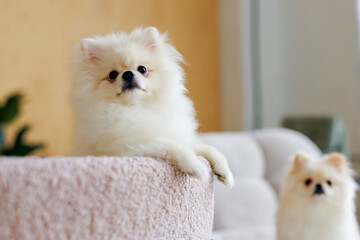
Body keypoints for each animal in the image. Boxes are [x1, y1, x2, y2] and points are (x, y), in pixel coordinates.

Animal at [71, 26, 233, 188]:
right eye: (112, 74)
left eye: (142, 69)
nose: (128, 74)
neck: (138, 108)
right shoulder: (126, 148)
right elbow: (170, 145)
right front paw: (195, 165)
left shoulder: (177, 135)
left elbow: (205, 148)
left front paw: (225, 171)